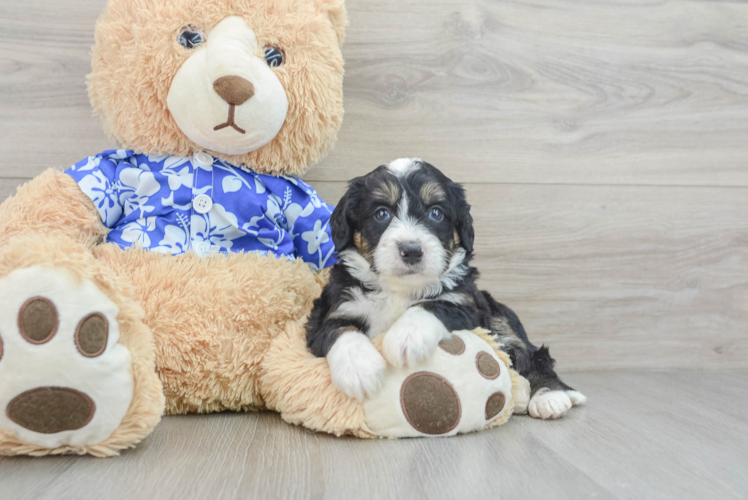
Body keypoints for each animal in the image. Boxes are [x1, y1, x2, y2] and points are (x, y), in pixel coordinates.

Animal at [304, 159, 584, 418]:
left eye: (436, 213)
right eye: (381, 213)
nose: (412, 250)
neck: (399, 289)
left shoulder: (465, 304)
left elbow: (431, 305)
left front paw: (405, 338)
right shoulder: (333, 310)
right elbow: (341, 331)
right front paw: (360, 369)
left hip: (500, 321)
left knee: (534, 357)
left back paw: (551, 397)